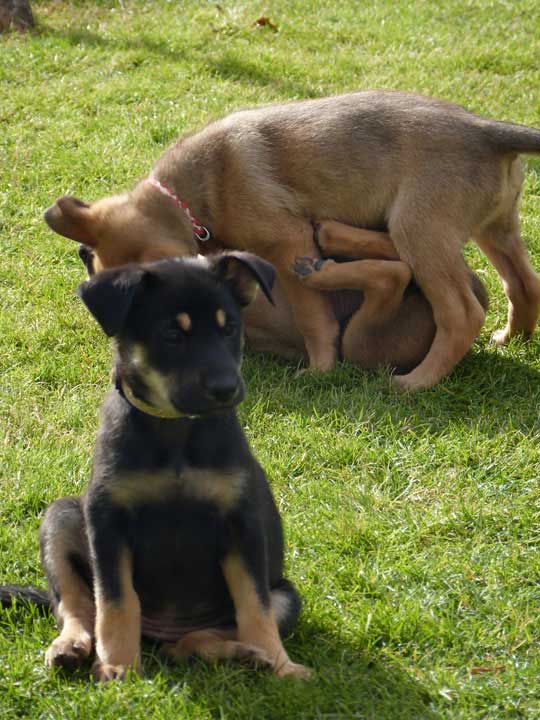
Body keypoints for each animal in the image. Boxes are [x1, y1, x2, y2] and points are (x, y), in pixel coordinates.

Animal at [0, 253, 310, 680]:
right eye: (172, 335)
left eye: (229, 328)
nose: (227, 388)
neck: (175, 433)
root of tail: (160, 633)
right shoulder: (107, 520)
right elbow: (115, 601)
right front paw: (118, 666)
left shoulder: (241, 520)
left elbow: (255, 604)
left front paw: (282, 665)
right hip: (60, 516)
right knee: (77, 606)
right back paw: (72, 648)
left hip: (287, 596)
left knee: (192, 643)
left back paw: (244, 654)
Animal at [44, 93, 540, 394]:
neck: (193, 195)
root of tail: (486, 131)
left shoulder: (285, 242)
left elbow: (312, 317)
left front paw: (319, 368)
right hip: (494, 228)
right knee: (522, 283)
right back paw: (511, 336)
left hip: (420, 229)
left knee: (459, 311)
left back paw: (417, 381)